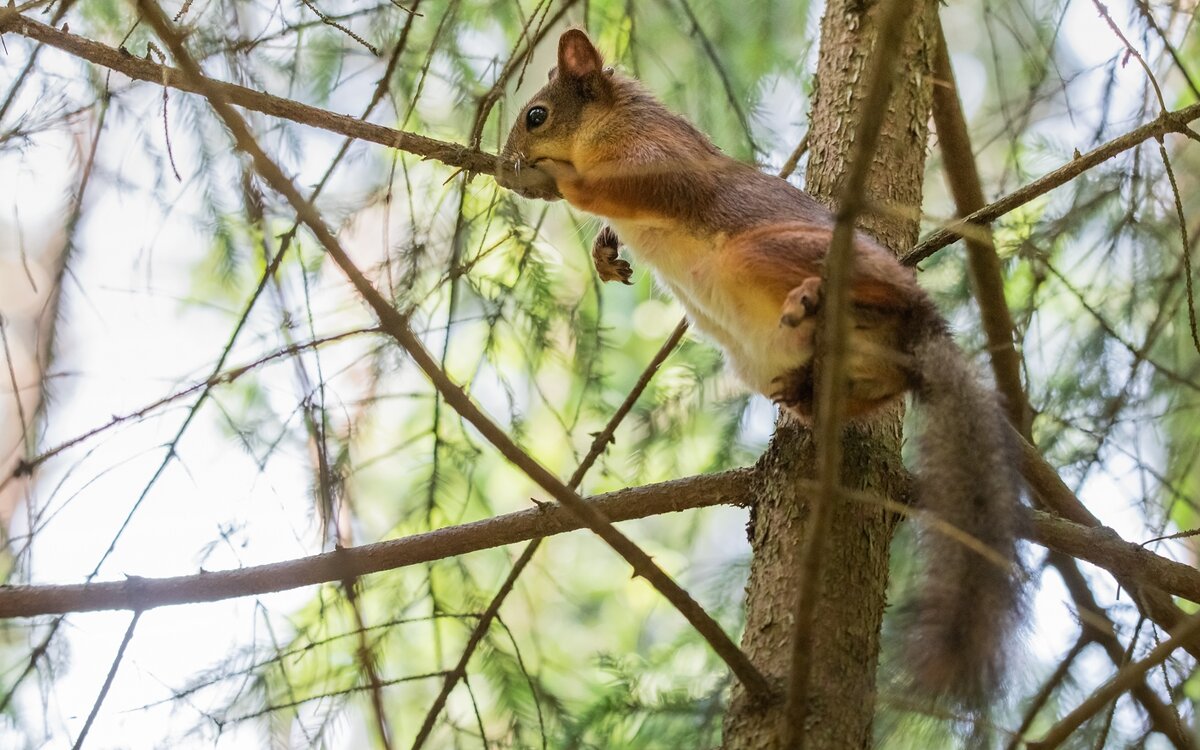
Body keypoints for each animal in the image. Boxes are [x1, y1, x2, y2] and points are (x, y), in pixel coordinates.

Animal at [496, 29, 1022, 705]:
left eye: (535, 116)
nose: (506, 171)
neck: (608, 122)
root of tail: (922, 330)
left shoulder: (659, 158)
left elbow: (635, 190)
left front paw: (566, 183)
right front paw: (603, 254)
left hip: (765, 251)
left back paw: (820, 297)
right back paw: (810, 391)